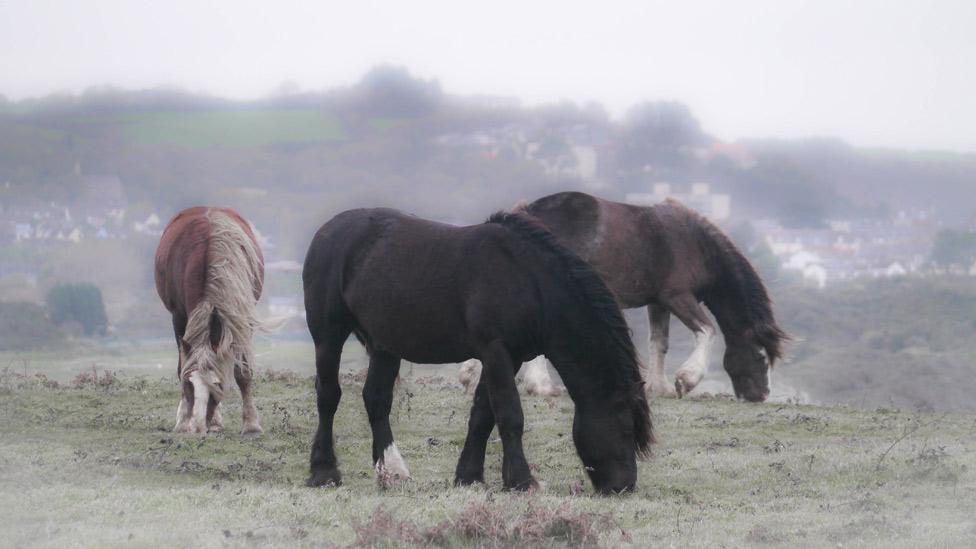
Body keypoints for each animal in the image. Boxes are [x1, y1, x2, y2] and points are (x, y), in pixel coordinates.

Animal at [154, 208, 264, 434]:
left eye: (218, 385)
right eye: (189, 385)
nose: (198, 426)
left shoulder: (242, 320)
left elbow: (243, 371)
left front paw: (251, 425)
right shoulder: (178, 318)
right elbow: (182, 366)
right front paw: (184, 421)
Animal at [302, 209, 652, 492]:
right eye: (625, 427)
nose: (624, 486)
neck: (529, 281)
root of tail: (327, 231)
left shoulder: (509, 357)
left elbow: (483, 415)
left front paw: (469, 476)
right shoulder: (497, 351)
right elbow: (510, 415)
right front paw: (522, 481)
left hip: (384, 345)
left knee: (376, 400)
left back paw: (391, 472)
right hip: (329, 336)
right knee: (328, 397)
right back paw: (324, 472)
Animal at [516, 191, 788, 400]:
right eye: (760, 356)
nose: (762, 396)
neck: (697, 247)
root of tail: (528, 213)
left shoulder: (658, 303)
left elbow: (659, 343)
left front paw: (660, 387)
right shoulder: (678, 297)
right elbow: (707, 331)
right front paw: (686, 380)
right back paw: (543, 387)